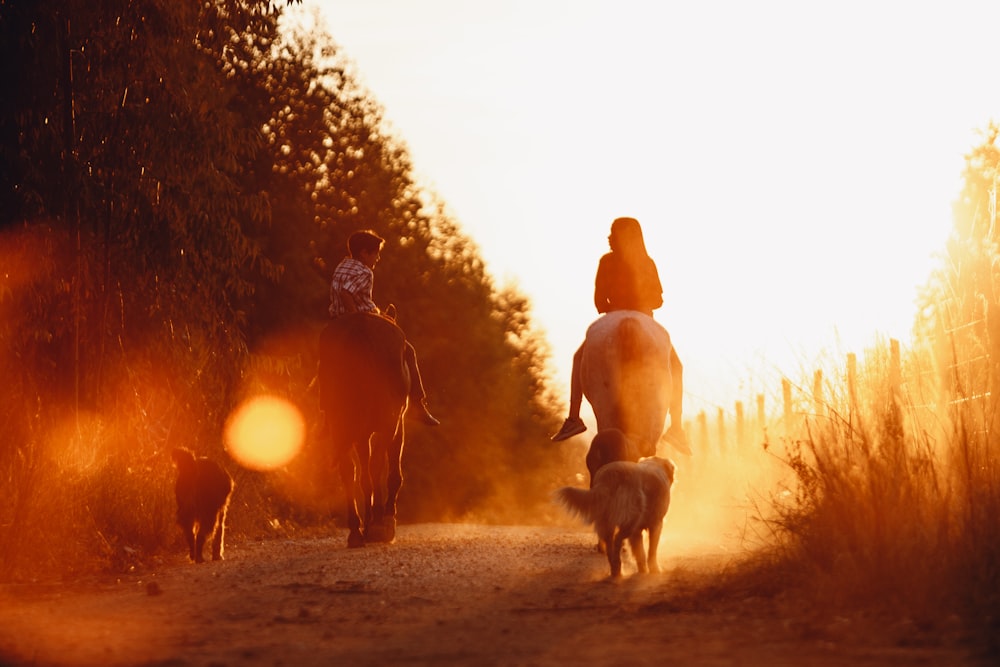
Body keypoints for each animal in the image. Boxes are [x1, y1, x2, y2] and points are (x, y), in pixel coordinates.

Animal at [318, 314, 408, 548]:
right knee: (375, 466)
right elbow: (391, 472)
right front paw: (386, 521)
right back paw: (377, 525)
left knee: (349, 472)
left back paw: (356, 531)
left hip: (341, 424)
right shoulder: (396, 425)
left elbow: (364, 476)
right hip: (386, 423)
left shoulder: (361, 435)